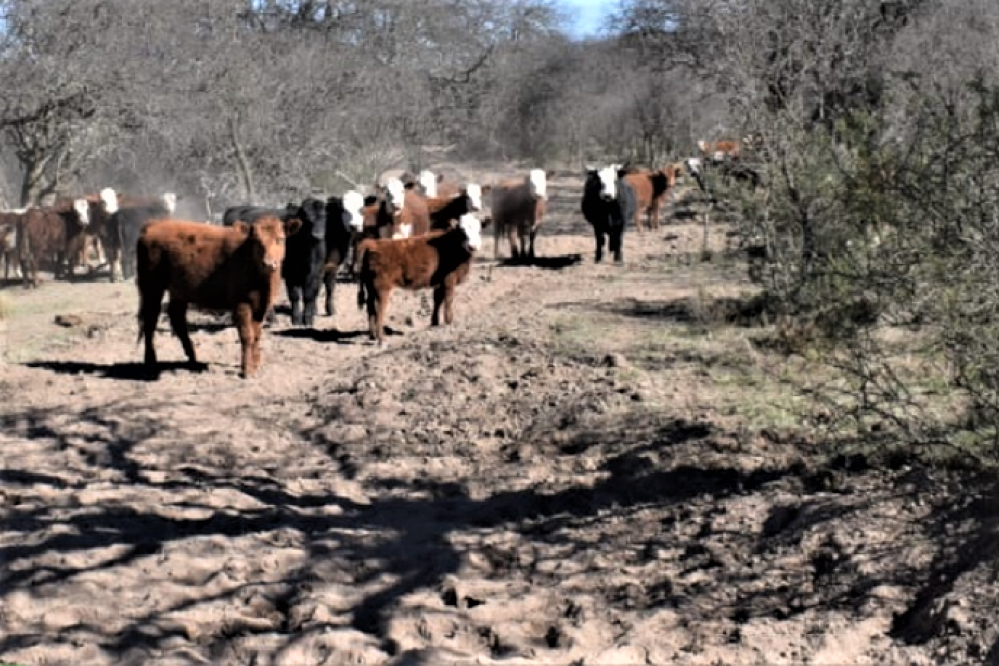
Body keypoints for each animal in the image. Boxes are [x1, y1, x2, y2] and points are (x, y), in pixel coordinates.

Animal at [135, 215, 302, 376]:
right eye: (256, 241)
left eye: (281, 239)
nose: (268, 263)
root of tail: (153, 224)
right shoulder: (241, 303)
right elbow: (246, 335)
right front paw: (247, 370)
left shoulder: (261, 306)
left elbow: (256, 335)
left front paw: (255, 364)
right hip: (151, 287)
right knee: (150, 322)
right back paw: (150, 362)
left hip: (178, 291)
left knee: (177, 319)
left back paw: (193, 360)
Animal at [358, 213, 486, 344]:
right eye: (462, 231)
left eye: (479, 230)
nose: (473, 246)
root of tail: (372, 244)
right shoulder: (449, 280)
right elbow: (448, 300)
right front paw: (449, 322)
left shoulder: (439, 281)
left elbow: (437, 299)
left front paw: (434, 323)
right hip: (382, 287)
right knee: (379, 309)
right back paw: (381, 338)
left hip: (370, 287)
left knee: (370, 308)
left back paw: (372, 336)